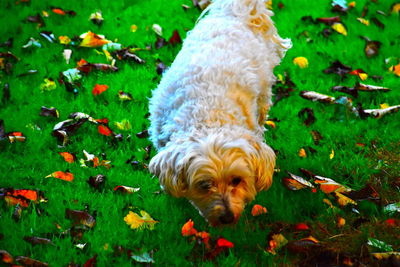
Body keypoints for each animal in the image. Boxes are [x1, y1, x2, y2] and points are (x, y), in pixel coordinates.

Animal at [148, 0, 292, 226]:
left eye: (237, 180)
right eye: (205, 184)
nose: (227, 217)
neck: (208, 113)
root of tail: (234, 12)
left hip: (263, 94)